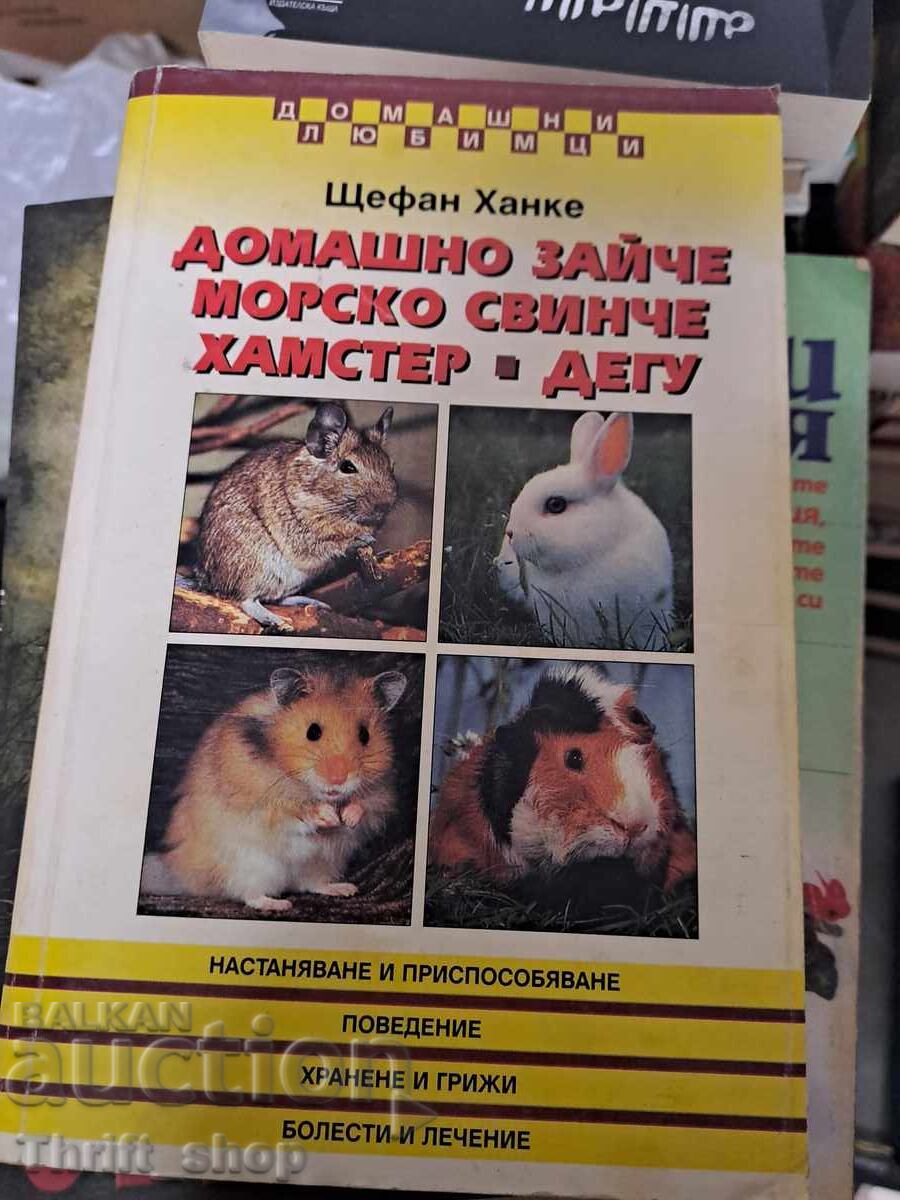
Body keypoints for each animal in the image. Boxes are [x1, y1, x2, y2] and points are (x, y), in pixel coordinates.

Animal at [160, 664, 407, 912]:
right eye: (312, 732)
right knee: (250, 894)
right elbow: (291, 811)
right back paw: (279, 904)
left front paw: (348, 817)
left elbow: (365, 806)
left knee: (311, 884)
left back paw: (345, 889)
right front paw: (328, 816)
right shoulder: (260, 800)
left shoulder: (381, 794)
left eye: (365, 735)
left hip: (323, 862)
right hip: (246, 866)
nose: (337, 780)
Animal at [196, 402, 397, 631]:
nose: (384, 506)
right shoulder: (299, 534)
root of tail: (205, 581)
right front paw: (359, 540)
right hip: (253, 566)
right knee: (244, 600)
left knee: (276, 597)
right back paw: (276, 620)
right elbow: (328, 544)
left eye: (391, 466)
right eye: (347, 467)